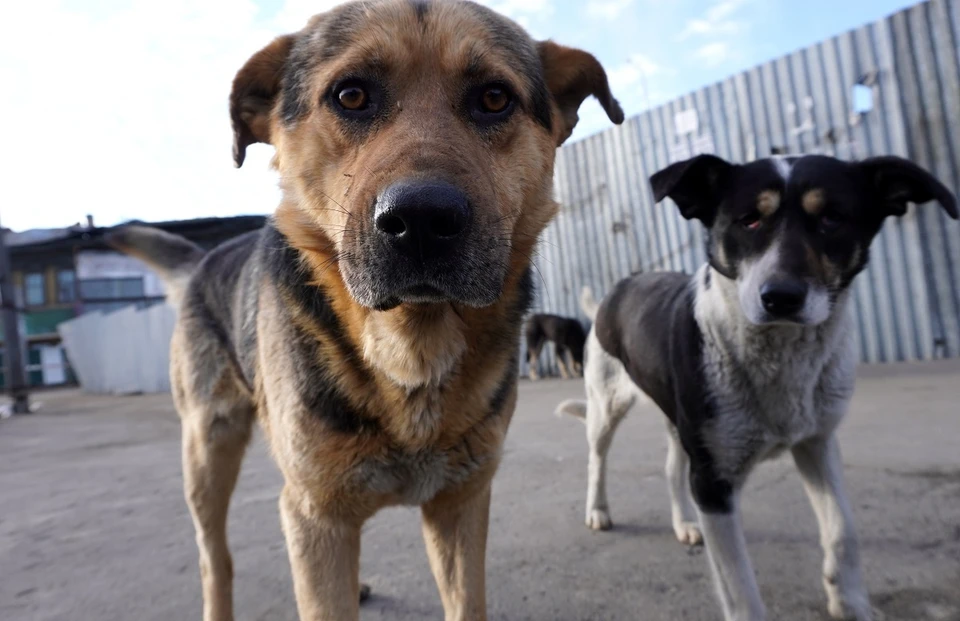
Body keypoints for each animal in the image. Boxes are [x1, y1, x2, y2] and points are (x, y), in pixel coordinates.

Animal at [105, 1, 624, 620]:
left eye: (494, 98)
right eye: (351, 95)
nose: (422, 220)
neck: (410, 351)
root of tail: (205, 258)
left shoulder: (461, 503)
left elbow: (465, 600)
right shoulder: (315, 514)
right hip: (208, 451)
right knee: (216, 560)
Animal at [560, 151, 956, 620]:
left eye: (832, 218)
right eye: (748, 220)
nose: (781, 297)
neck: (780, 354)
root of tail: (619, 287)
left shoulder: (818, 443)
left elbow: (843, 529)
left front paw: (850, 601)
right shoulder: (713, 482)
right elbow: (740, 590)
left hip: (679, 420)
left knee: (672, 466)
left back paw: (683, 524)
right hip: (606, 405)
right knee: (596, 459)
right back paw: (598, 511)